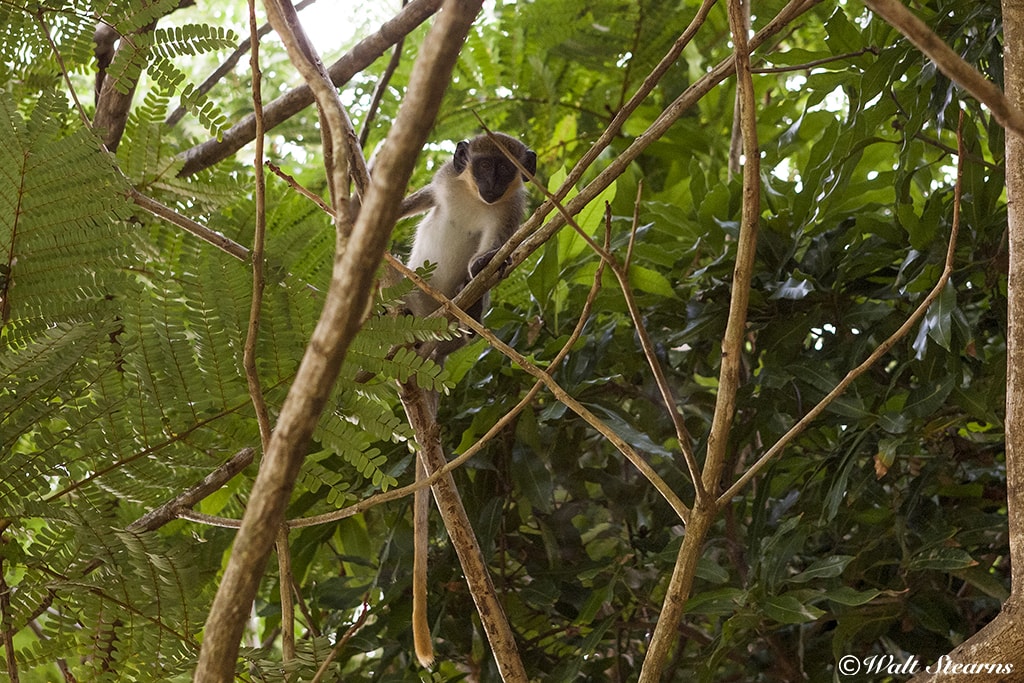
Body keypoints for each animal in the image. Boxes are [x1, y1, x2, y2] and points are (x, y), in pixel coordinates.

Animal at [399, 132, 536, 668]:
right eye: (482, 166)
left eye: (506, 169)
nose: (493, 185)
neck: (475, 198)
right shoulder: (444, 182)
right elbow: (417, 201)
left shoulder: (511, 210)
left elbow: (498, 249)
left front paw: (483, 266)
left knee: (469, 307)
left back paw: (469, 308)